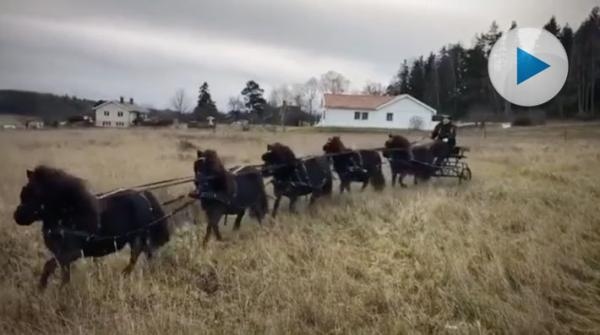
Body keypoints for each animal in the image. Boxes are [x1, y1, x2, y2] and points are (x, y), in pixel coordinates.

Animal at [14, 167, 169, 290]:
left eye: (34, 193)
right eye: (23, 192)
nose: (17, 216)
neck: (68, 213)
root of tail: (143, 196)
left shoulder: (72, 253)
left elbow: (49, 265)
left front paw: (42, 288)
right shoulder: (64, 256)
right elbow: (64, 274)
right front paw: (59, 290)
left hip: (139, 238)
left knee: (139, 257)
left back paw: (128, 275)